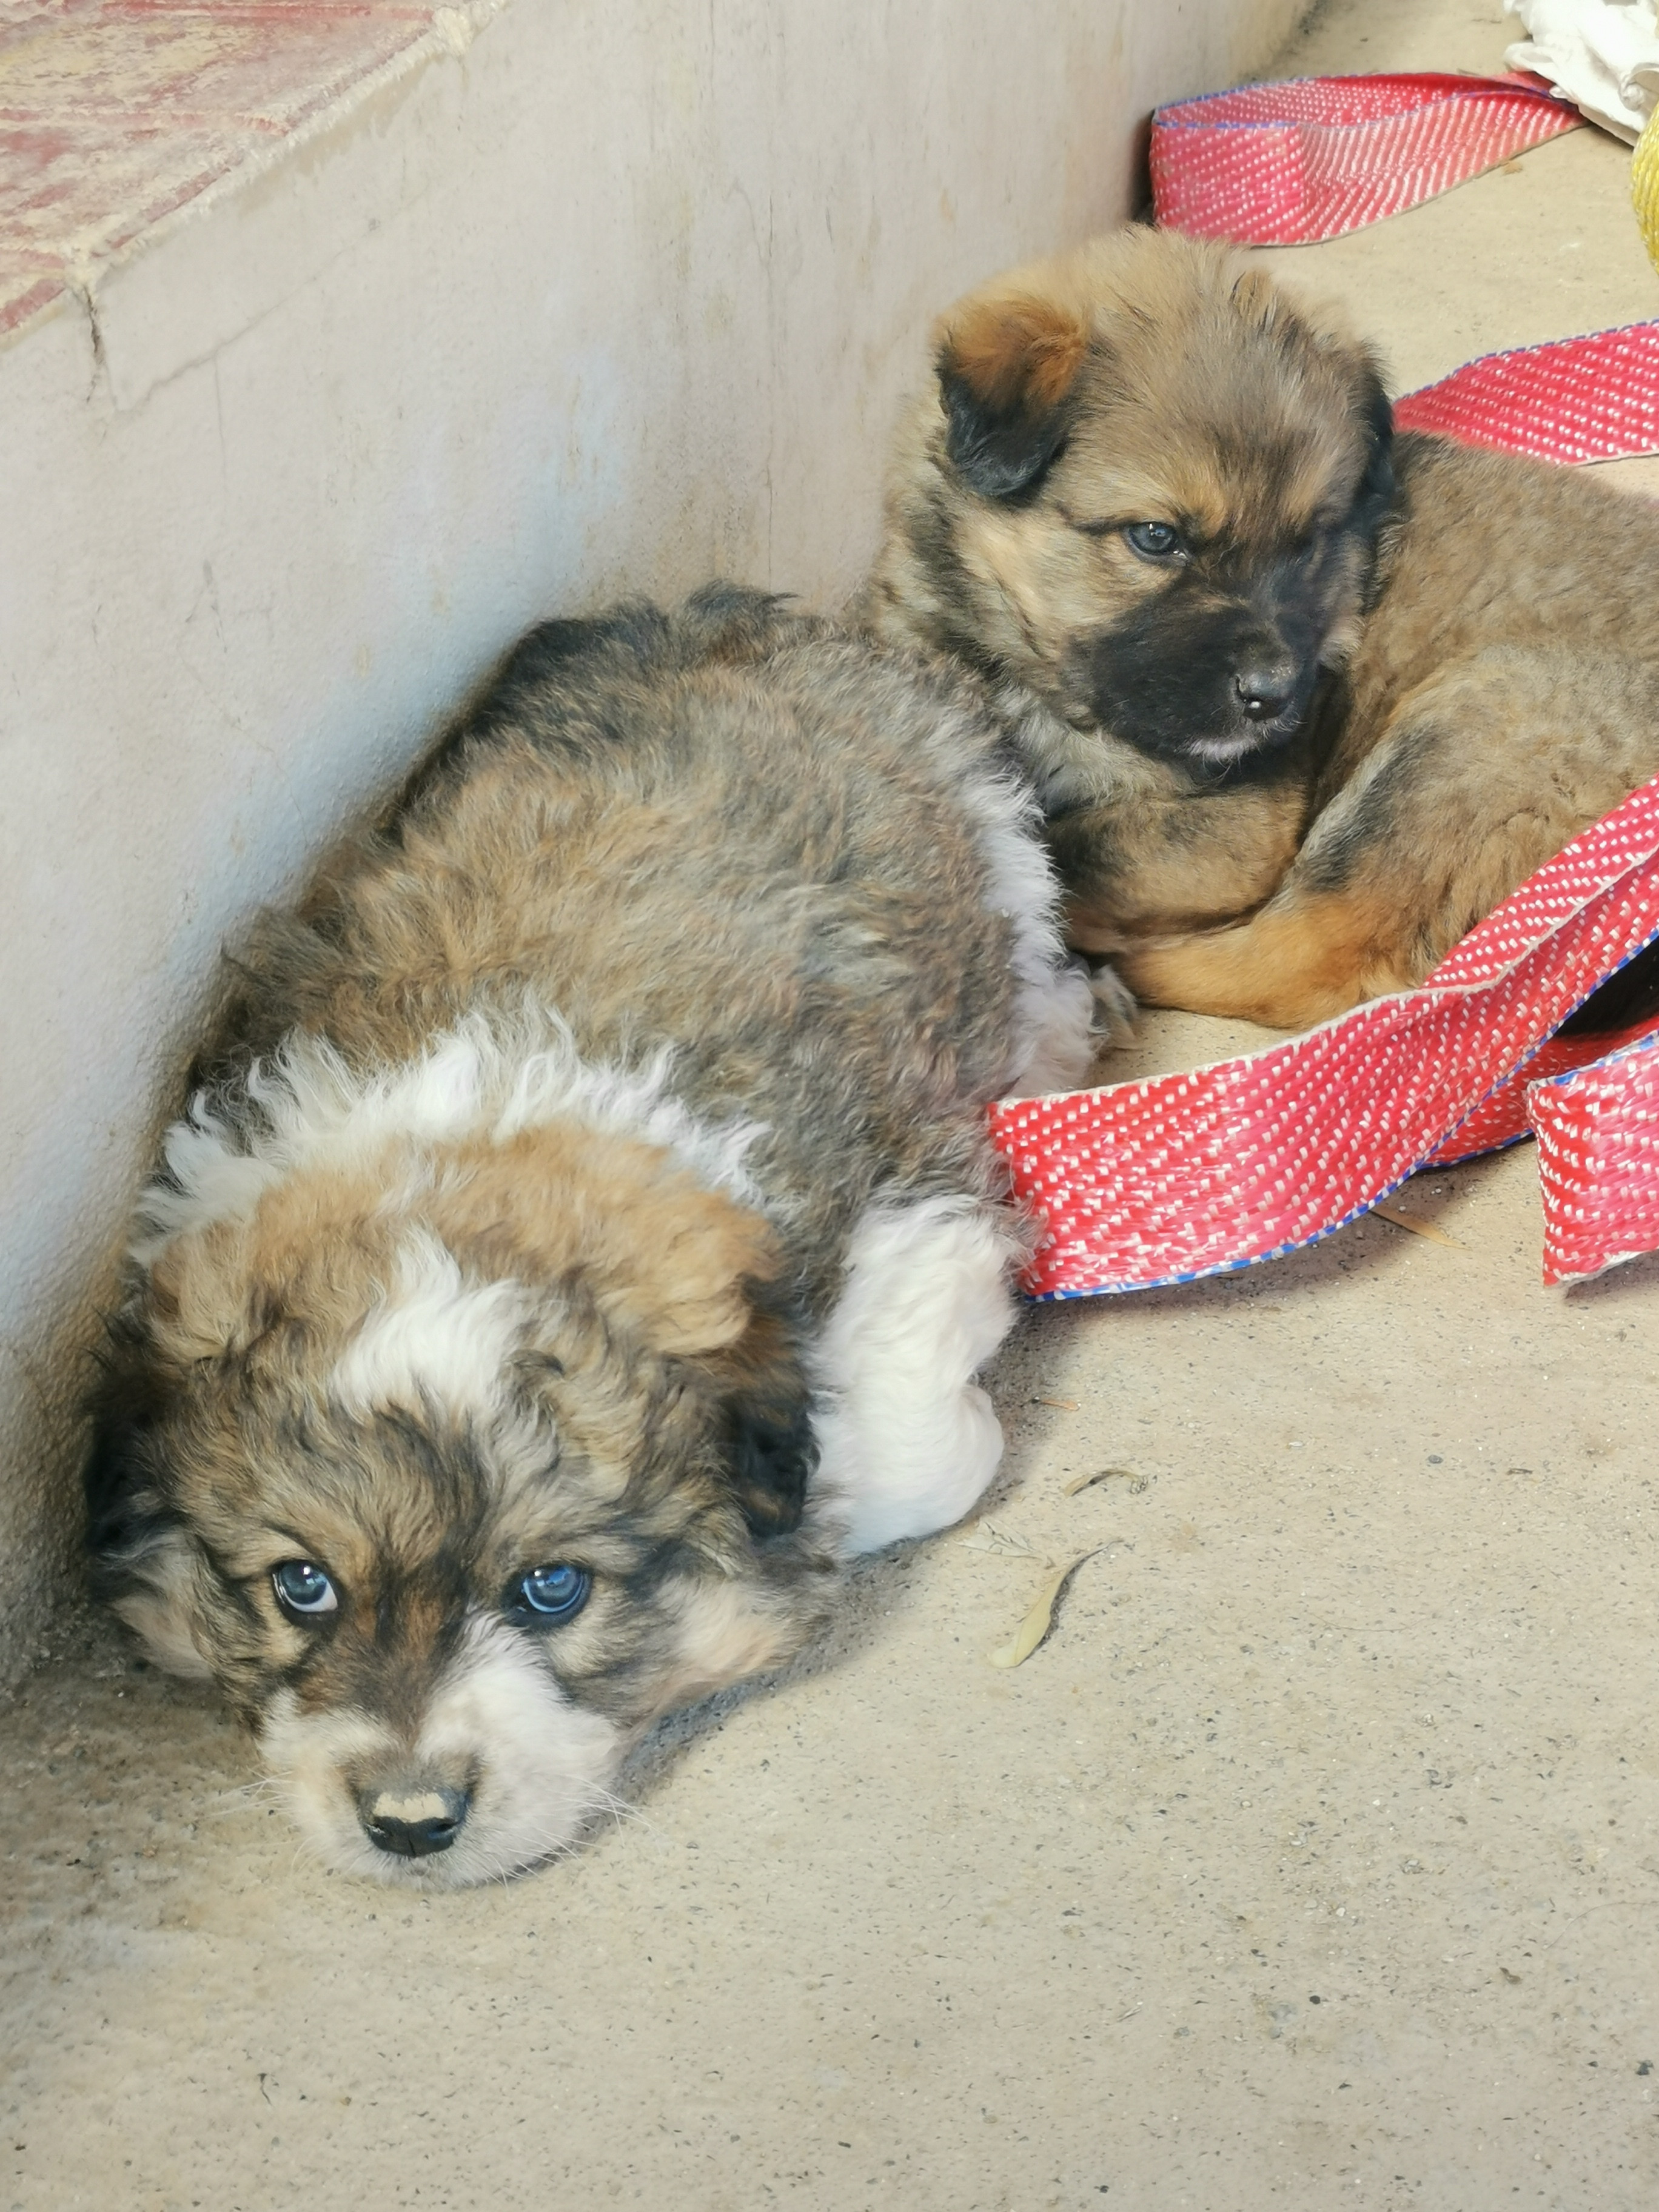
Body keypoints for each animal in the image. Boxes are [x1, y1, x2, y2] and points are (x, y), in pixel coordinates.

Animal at [85, 588, 1096, 1887]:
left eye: (552, 1587)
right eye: (301, 1584)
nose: (408, 1820)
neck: (474, 1144)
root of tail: (731, 610)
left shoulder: (916, 1199)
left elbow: (909, 1454)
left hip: (995, 836)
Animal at [859, 225, 1659, 1032]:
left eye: (1306, 545)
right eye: (1156, 538)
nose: (1274, 699)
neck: (1036, 672)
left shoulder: (1239, 821)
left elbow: (1073, 852)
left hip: (1474, 729)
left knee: (1301, 955)